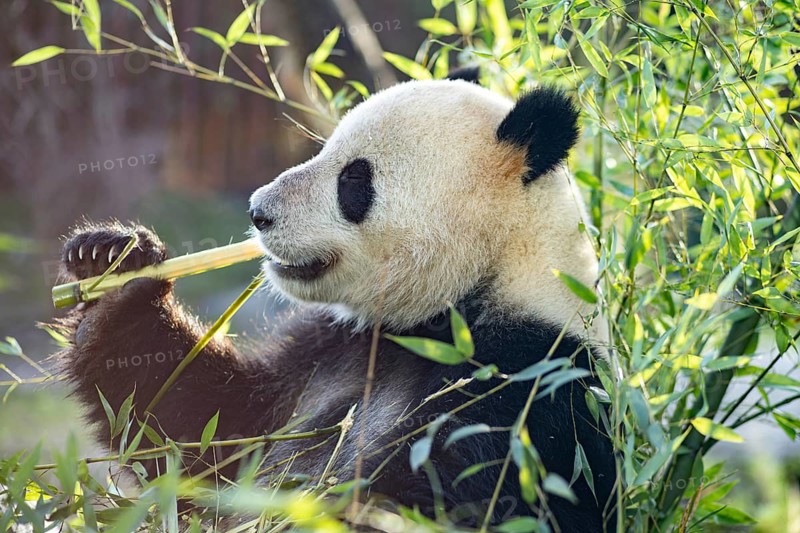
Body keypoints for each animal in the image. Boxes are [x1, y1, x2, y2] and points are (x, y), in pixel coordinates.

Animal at [54, 71, 617, 531]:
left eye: (354, 179)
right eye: (323, 150)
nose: (259, 212)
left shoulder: (528, 391)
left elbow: (453, 501)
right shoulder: (329, 348)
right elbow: (205, 431)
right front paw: (115, 272)